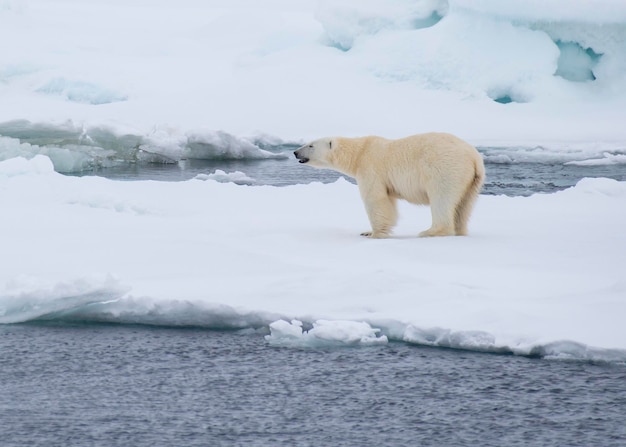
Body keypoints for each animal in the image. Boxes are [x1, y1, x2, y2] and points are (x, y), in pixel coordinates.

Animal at [292, 132, 482, 238]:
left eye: (311, 145)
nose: (295, 152)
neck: (359, 152)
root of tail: (474, 157)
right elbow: (389, 201)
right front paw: (367, 232)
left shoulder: (371, 168)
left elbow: (376, 199)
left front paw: (375, 234)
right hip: (472, 181)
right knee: (463, 205)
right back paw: (460, 230)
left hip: (445, 169)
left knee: (442, 198)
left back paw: (430, 232)